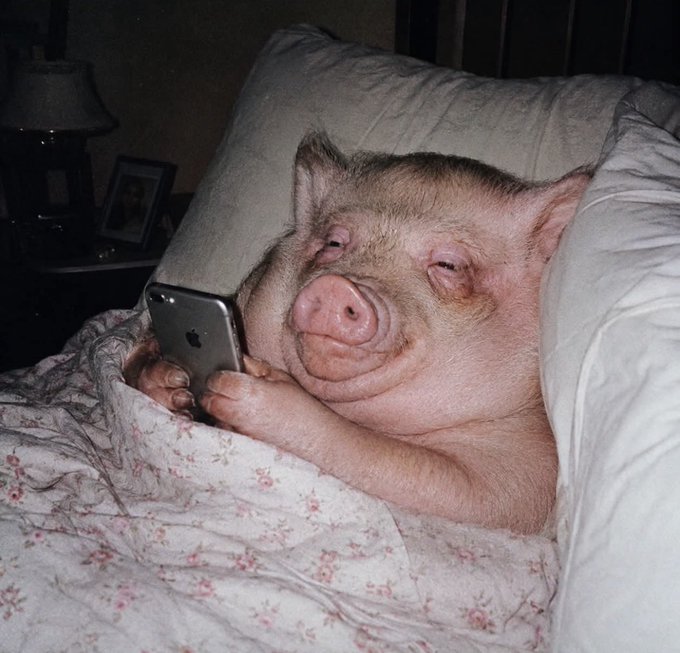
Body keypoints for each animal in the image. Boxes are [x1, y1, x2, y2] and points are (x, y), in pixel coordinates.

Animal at [125, 133, 591, 534]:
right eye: (334, 243)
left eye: (449, 266)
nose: (336, 288)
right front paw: (169, 382)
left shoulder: (523, 476)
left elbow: (426, 474)